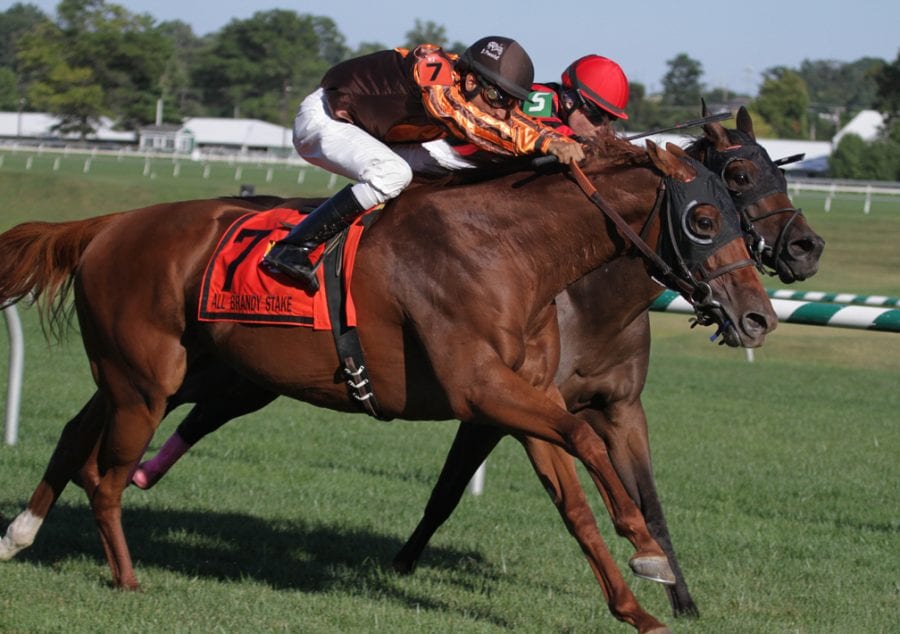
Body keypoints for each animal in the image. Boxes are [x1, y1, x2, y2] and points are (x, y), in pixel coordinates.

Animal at [0, 138, 772, 632]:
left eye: (739, 217)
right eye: (705, 218)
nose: (758, 317)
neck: (510, 251)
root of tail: (109, 224)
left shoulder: (526, 400)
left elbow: (574, 505)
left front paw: (639, 608)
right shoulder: (483, 392)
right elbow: (586, 438)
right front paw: (646, 549)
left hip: (166, 375)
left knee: (76, 436)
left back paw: (20, 534)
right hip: (145, 382)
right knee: (105, 476)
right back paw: (127, 577)